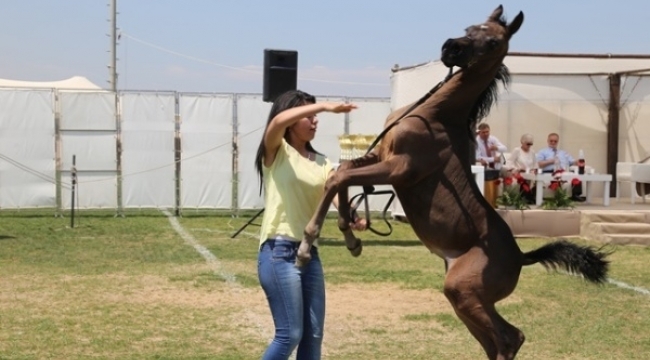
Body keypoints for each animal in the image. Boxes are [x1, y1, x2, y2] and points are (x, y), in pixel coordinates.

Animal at [298, 4, 608, 360]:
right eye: (470, 27)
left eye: (493, 42)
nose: (451, 47)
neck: (436, 115)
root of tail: (522, 257)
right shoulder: (379, 156)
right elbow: (342, 172)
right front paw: (351, 237)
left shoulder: (399, 169)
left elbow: (340, 176)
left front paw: (308, 245)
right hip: (464, 299)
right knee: (499, 342)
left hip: (462, 291)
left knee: (509, 338)